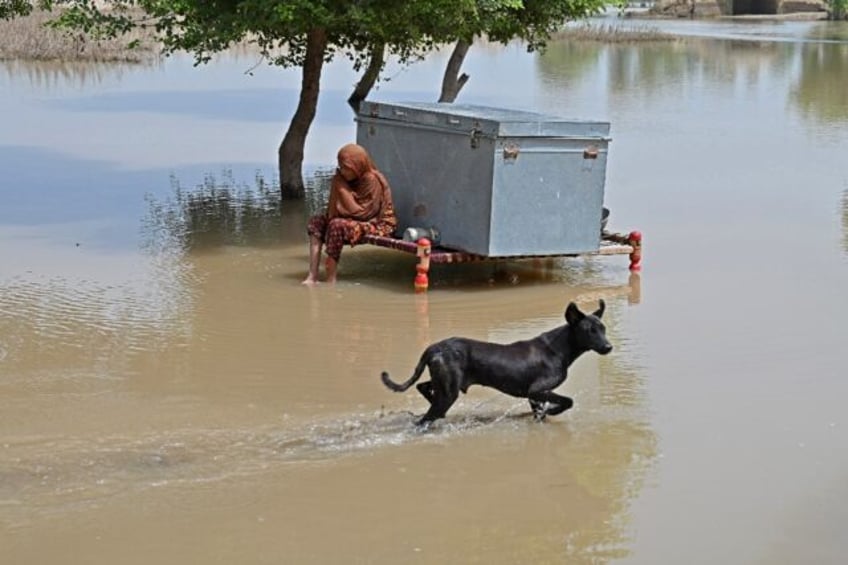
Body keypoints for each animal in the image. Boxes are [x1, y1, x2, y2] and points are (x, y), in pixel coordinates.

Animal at [380, 300, 612, 424]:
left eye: (603, 329)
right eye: (589, 331)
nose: (609, 347)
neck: (559, 348)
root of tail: (433, 347)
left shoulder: (534, 396)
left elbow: (540, 412)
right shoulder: (537, 390)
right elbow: (567, 401)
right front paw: (552, 411)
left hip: (444, 382)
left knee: (423, 387)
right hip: (449, 392)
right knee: (425, 418)